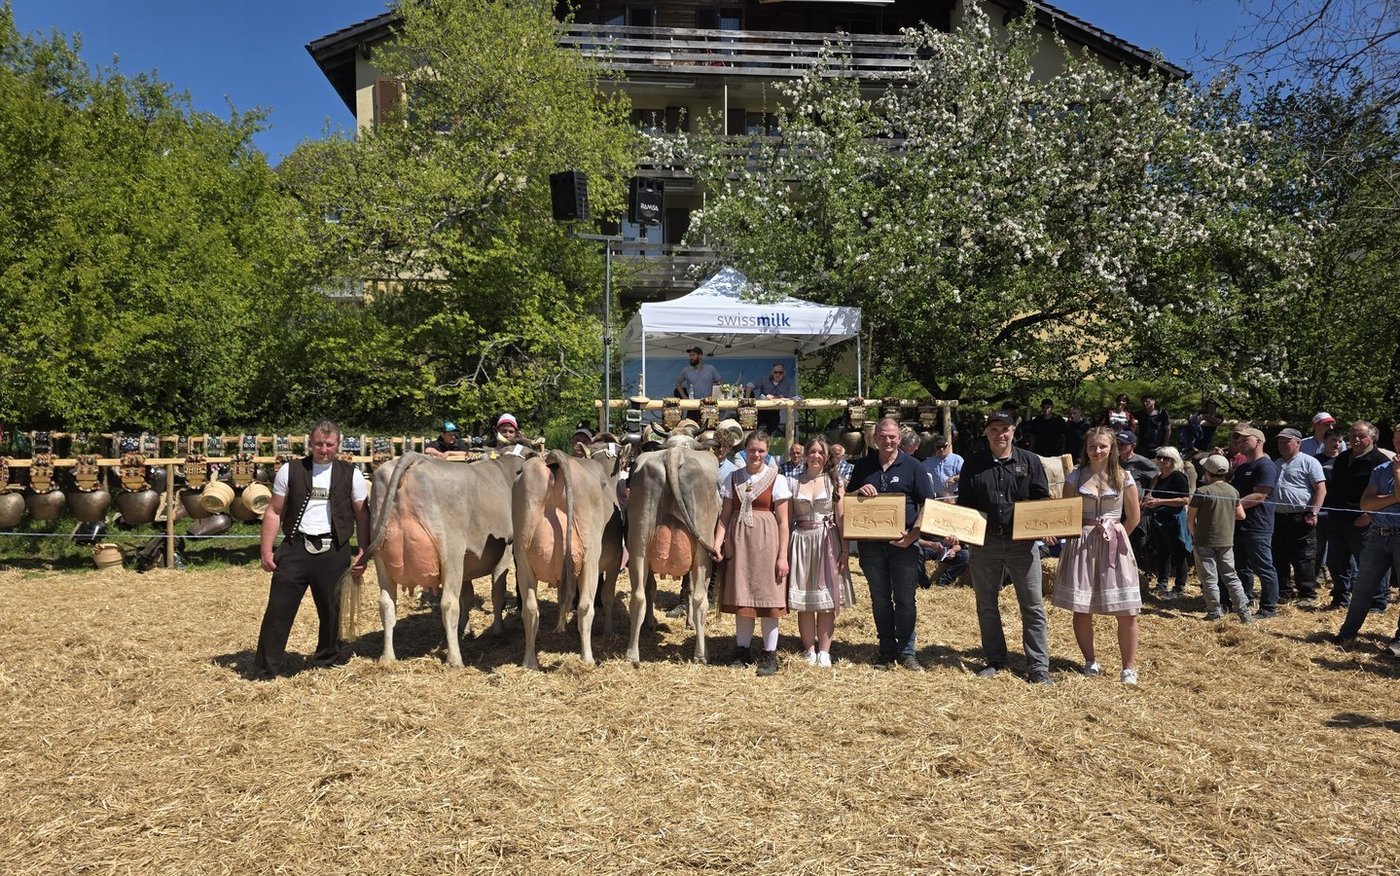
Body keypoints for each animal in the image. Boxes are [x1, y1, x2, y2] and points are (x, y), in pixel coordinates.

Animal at [366, 446, 534, 667]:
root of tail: (414, 457)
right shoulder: (503, 558)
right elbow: (497, 595)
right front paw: (497, 630)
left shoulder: (467, 566)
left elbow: (467, 597)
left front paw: (466, 629)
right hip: (450, 553)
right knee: (448, 604)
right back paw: (455, 659)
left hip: (380, 555)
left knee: (386, 604)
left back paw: (387, 657)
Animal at [512, 447, 624, 668]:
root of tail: (551, 457)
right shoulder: (615, 562)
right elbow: (607, 596)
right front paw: (608, 631)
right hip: (590, 557)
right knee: (585, 607)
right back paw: (587, 658)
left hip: (523, 559)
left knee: (530, 609)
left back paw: (529, 661)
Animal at [624, 445, 721, 664]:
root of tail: (674, 452)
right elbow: (690, 589)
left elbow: (652, 588)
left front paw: (651, 623)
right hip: (703, 551)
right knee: (701, 599)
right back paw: (701, 655)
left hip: (639, 541)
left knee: (638, 596)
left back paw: (632, 654)